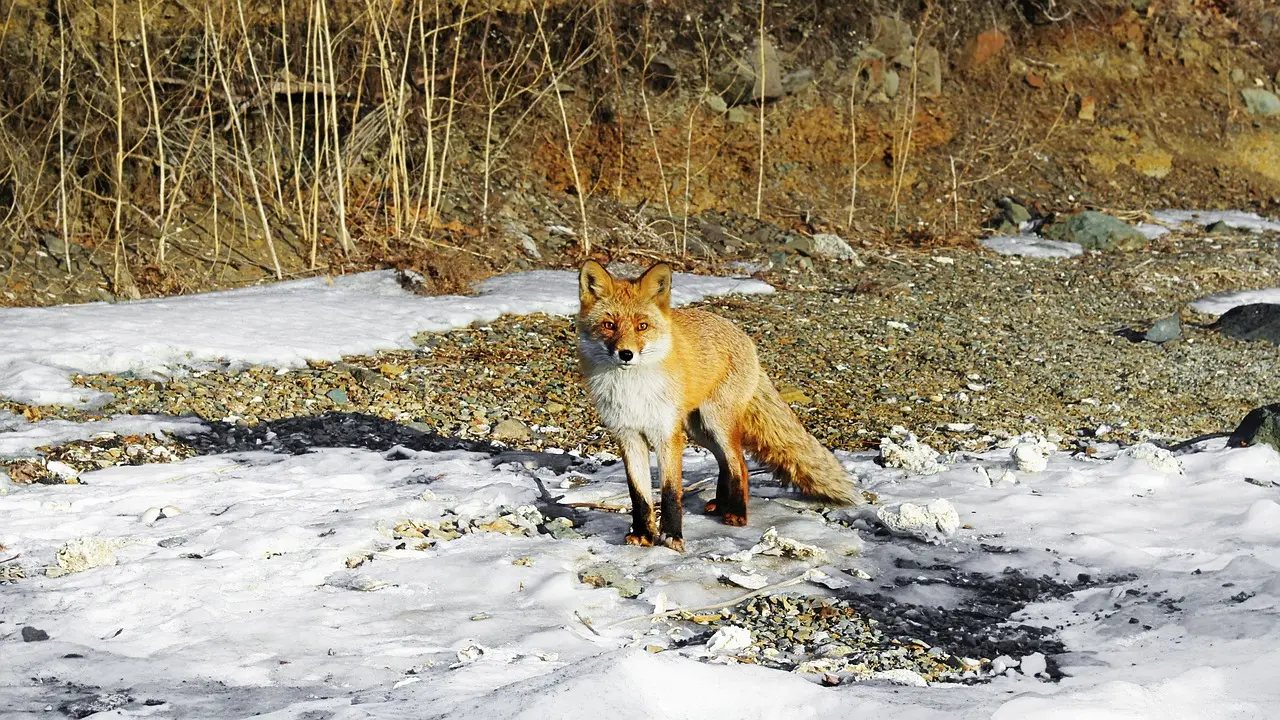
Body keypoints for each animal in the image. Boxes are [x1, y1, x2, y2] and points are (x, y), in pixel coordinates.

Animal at [578, 260, 860, 550]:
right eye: (609, 325)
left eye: (642, 326)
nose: (626, 354)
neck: (632, 390)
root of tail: (742, 335)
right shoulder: (629, 436)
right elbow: (639, 495)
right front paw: (644, 534)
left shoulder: (667, 435)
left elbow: (670, 492)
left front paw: (672, 535)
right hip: (699, 430)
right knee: (726, 463)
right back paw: (722, 504)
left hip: (716, 424)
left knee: (740, 464)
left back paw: (736, 513)